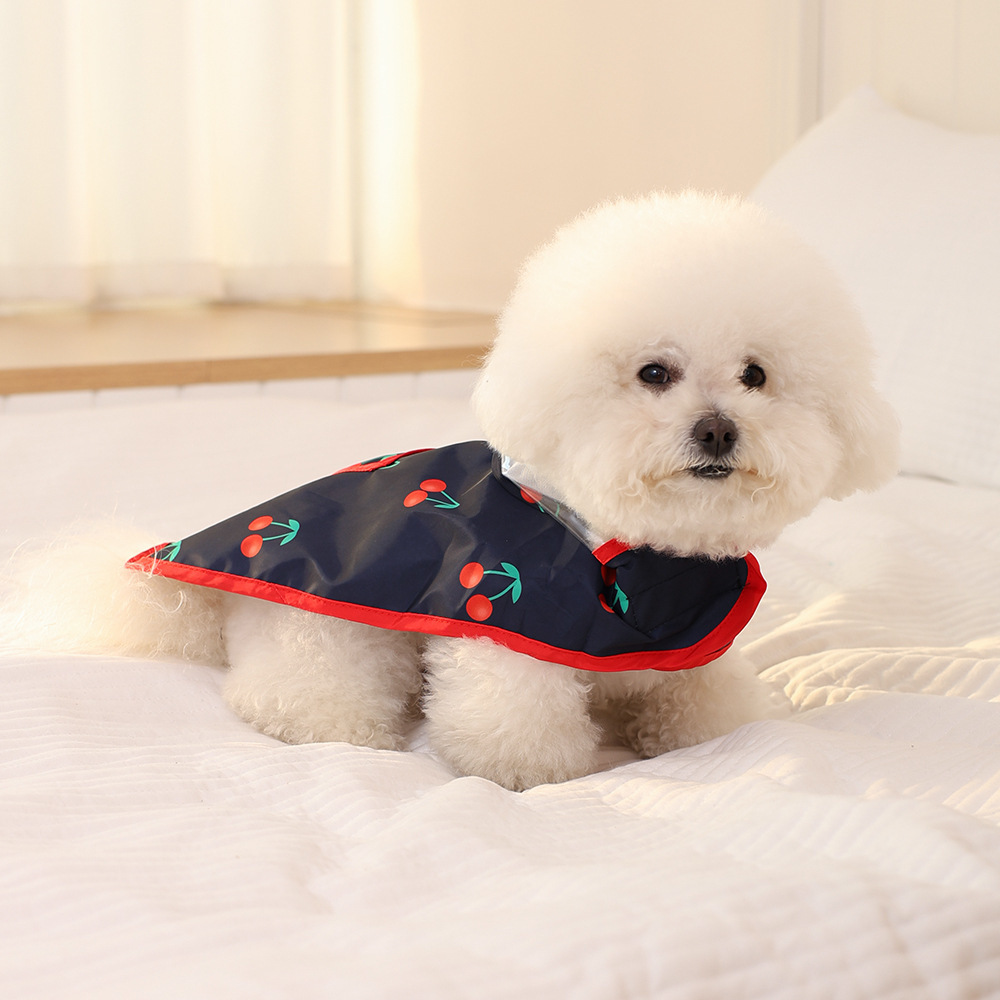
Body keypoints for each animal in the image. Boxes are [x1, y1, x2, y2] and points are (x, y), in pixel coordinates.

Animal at [4, 192, 899, 790]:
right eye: (654, 373)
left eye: (756, 376)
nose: (718, 431)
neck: (632, 553)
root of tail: (200, 596)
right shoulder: (513, 635)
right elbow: (516, 729)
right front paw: (534, 774)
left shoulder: (691, 651)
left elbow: (706, 709)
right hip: (333, 636)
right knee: (291, 699)